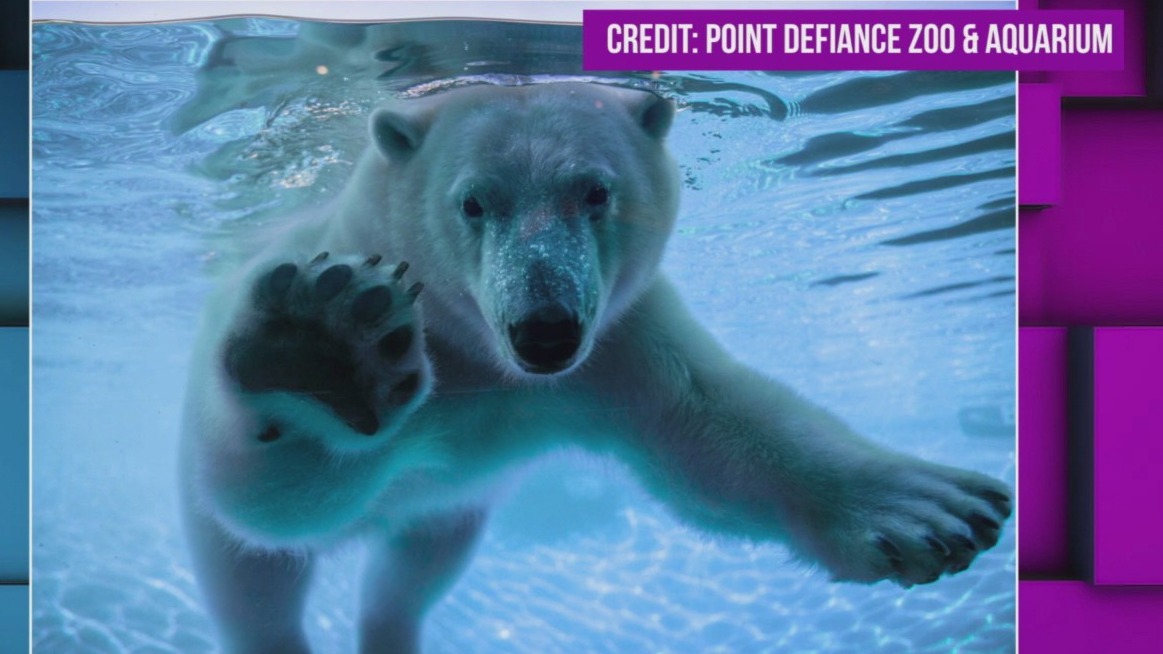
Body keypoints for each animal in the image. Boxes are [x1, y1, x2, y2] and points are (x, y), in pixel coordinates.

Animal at [180, 82, 1012, 654]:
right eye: (473, 203)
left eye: (594, 191)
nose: (544, 330)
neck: (475, 354)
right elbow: (276, 503)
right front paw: (324, 350)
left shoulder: (616, 349)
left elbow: (712, 433)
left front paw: (929, 510)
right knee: (254, 594)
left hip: (449, 517)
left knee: (410, 576)